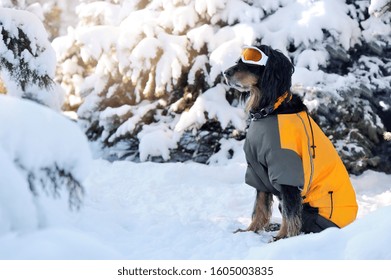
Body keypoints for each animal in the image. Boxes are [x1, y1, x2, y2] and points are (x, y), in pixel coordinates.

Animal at [224, 44, 358, 241]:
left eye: (250, 63)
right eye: (238, 61)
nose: (225, 72)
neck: (270, 110)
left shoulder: (287, 172)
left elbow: (290, 212)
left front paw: (283, 237)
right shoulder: (258, 171)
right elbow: (259, 206)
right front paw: (249, 230)